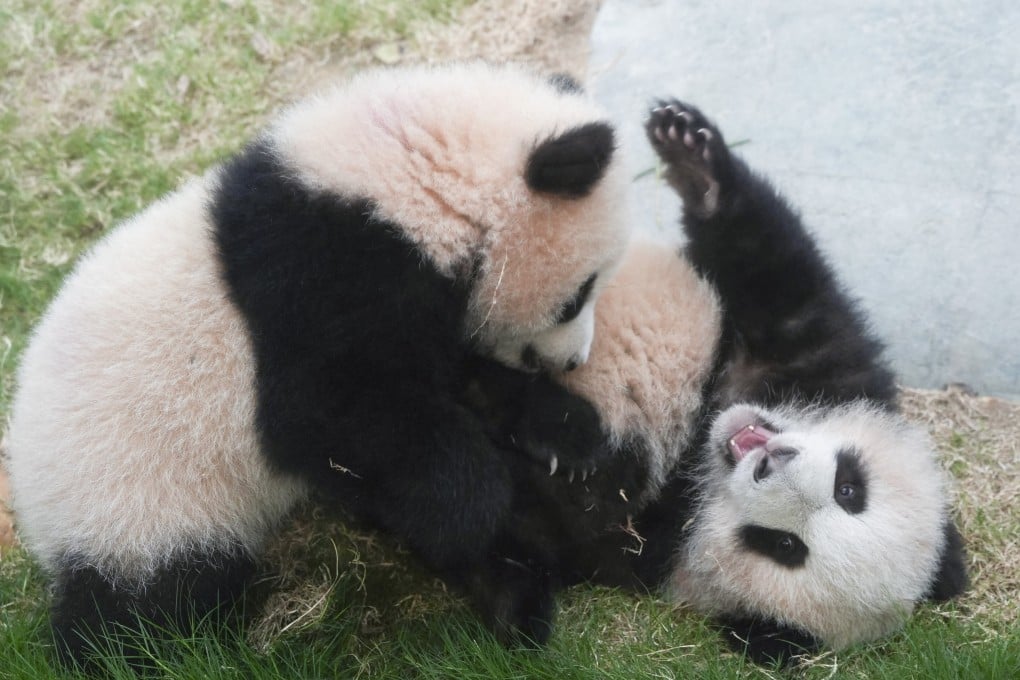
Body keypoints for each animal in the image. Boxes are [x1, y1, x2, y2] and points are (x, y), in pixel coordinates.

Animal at [5, 62, 631, 668]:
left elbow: (454, 381)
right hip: (139, 506)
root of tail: (38, 522)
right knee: (141, 612)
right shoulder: (314, 283)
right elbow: (334, 416)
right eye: (578, 295)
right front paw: (476, 500)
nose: (573, 360)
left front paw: (569, 436)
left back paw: (514, 602)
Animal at [471, 99, 968, 664]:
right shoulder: (824, 362)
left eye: (782, 545)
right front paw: (692, 151)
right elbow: (771, 262)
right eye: (850, 487)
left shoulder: (637, 544)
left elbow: (542, 511)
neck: (699, 448)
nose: (769, 463)